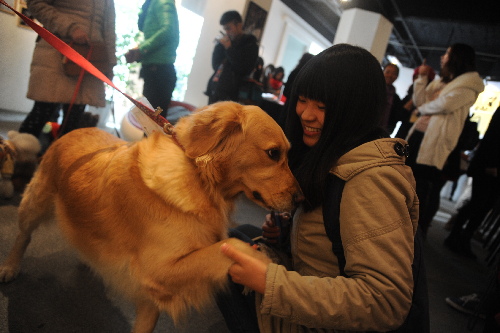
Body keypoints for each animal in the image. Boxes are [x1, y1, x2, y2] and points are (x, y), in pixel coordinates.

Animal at [0, 101, 300, 332]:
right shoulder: (157, 269)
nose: (301, 199)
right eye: (273, 153)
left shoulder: (153, 294)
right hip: (35, 202)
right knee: (23, 236)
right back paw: (10, 267)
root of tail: (73, 129)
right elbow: (230, 246)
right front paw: (266, 268)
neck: (200, 180)